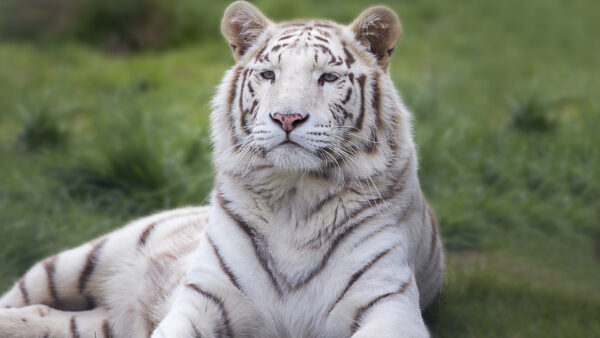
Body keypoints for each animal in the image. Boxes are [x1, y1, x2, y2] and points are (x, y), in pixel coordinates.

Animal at [1, 2, 446, 338]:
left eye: (328, 77)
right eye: (268, 74)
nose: (286, 117)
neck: (295, 198)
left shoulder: (387, 303)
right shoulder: (205, 298)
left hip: (101, 320)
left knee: (48, 317)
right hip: (80, 260)